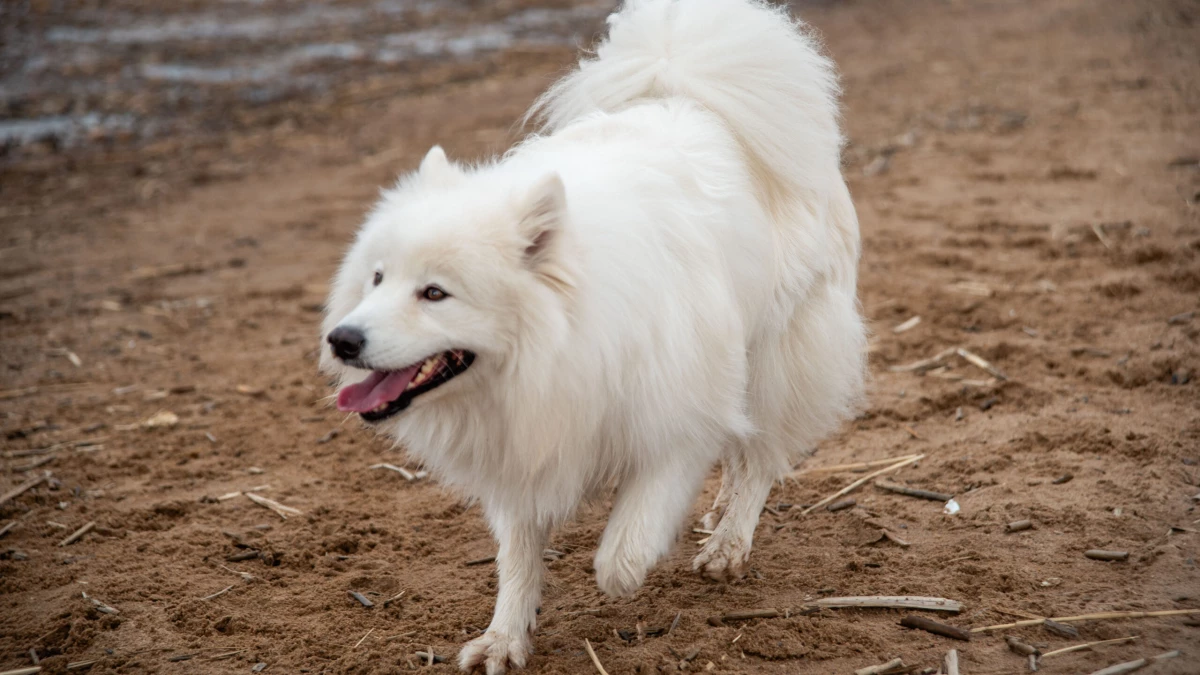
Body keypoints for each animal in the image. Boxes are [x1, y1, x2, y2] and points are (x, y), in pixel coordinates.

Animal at [319, 0, 864, 667]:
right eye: (376, 278)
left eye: (435, 293)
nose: (342, 340)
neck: (559, 345)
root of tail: (691, 93)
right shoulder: (521, 448)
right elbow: (517, 558)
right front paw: (503, 639)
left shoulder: (682, 411)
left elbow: (623, 547)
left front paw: (625, 571)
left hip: (777, 355)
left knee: (761, 456)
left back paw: (728, 544)